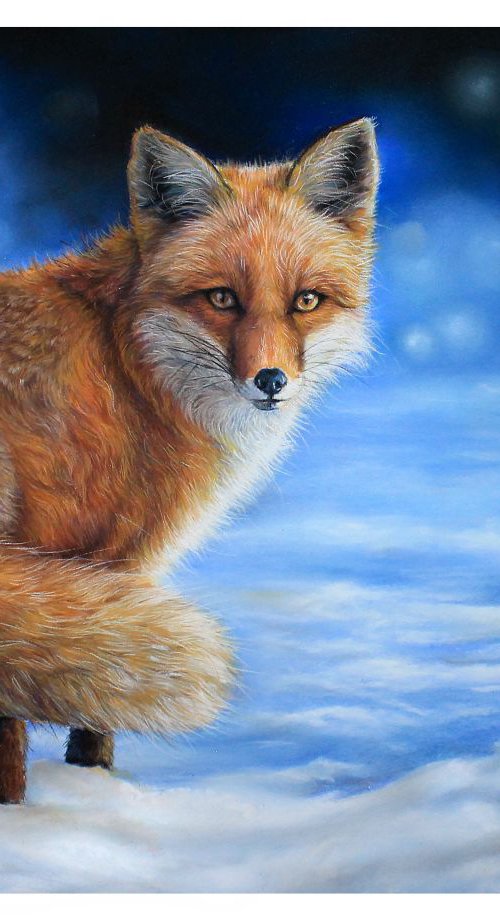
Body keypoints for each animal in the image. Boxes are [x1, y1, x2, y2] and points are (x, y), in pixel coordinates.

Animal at [0, 117, 379, 804]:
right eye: (222, 298)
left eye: (306, 301)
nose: (271, 381)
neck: (125, 368)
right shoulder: (66, 555)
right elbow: (47, 727)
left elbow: (89, 723)